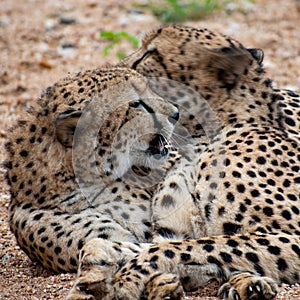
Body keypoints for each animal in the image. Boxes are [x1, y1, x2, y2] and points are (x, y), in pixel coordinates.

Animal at [68, 24, 300, 298]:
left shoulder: (292, 235)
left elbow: (190, 246)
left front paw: (128, 277)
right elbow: (163, 245)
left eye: (149, 54)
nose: (117, 71)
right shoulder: (173, 228)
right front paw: (99, 260)